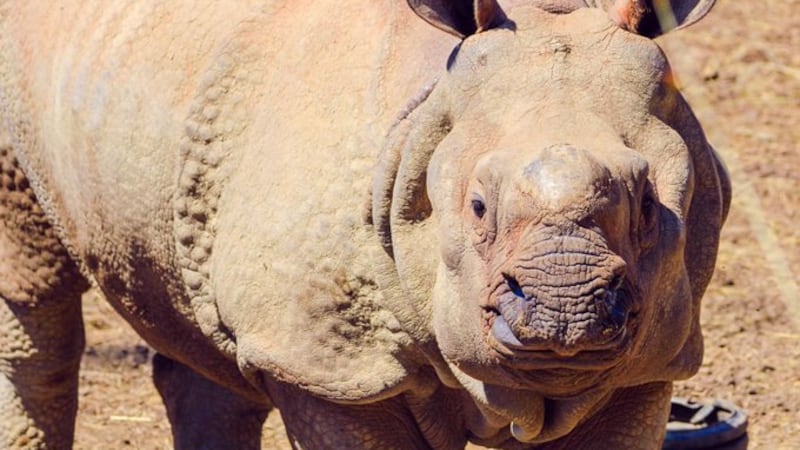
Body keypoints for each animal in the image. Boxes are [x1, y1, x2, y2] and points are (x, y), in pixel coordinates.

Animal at [0, 0, 730, 448]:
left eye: (648, 206)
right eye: (476, 207)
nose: (566, 310)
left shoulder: (649, 361)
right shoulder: (328, 365)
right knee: (34, 289)